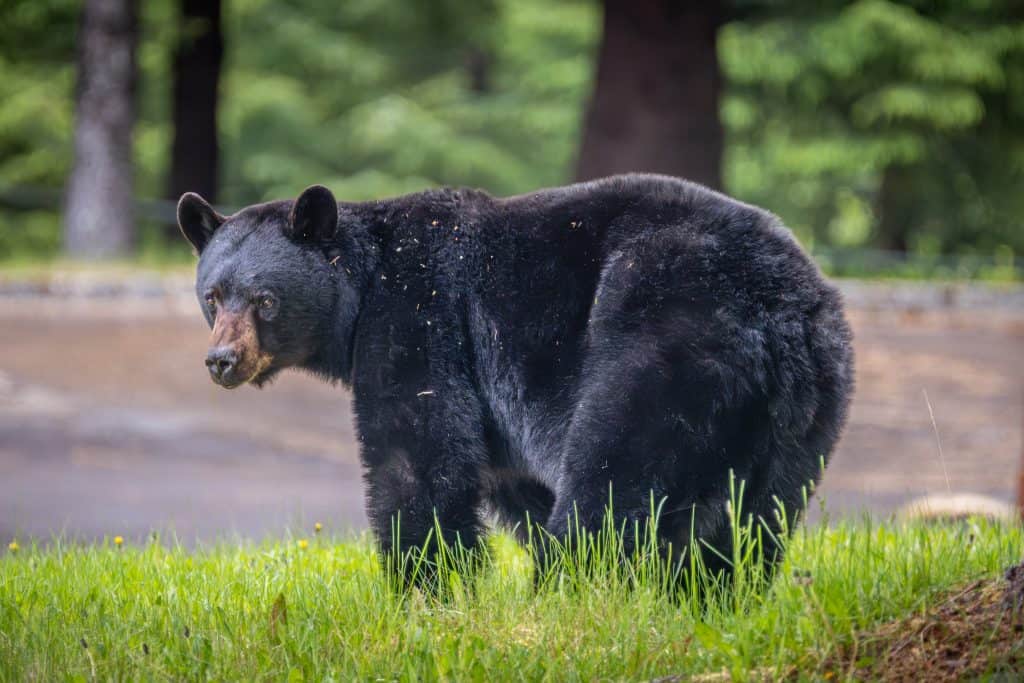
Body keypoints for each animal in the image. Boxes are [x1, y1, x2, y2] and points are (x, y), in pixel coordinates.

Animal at [178, 173, 854, 587]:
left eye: (264, 299)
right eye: (213, 296)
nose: (222, 361)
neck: (362, 288)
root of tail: (780, 310)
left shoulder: (420, 317)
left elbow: (416, 455)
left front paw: (426, 588)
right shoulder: (497, 405)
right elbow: (510, 478)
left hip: (665, 342)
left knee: (612, 483)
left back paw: (564, 594)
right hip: (807, 410)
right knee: (754, 520)